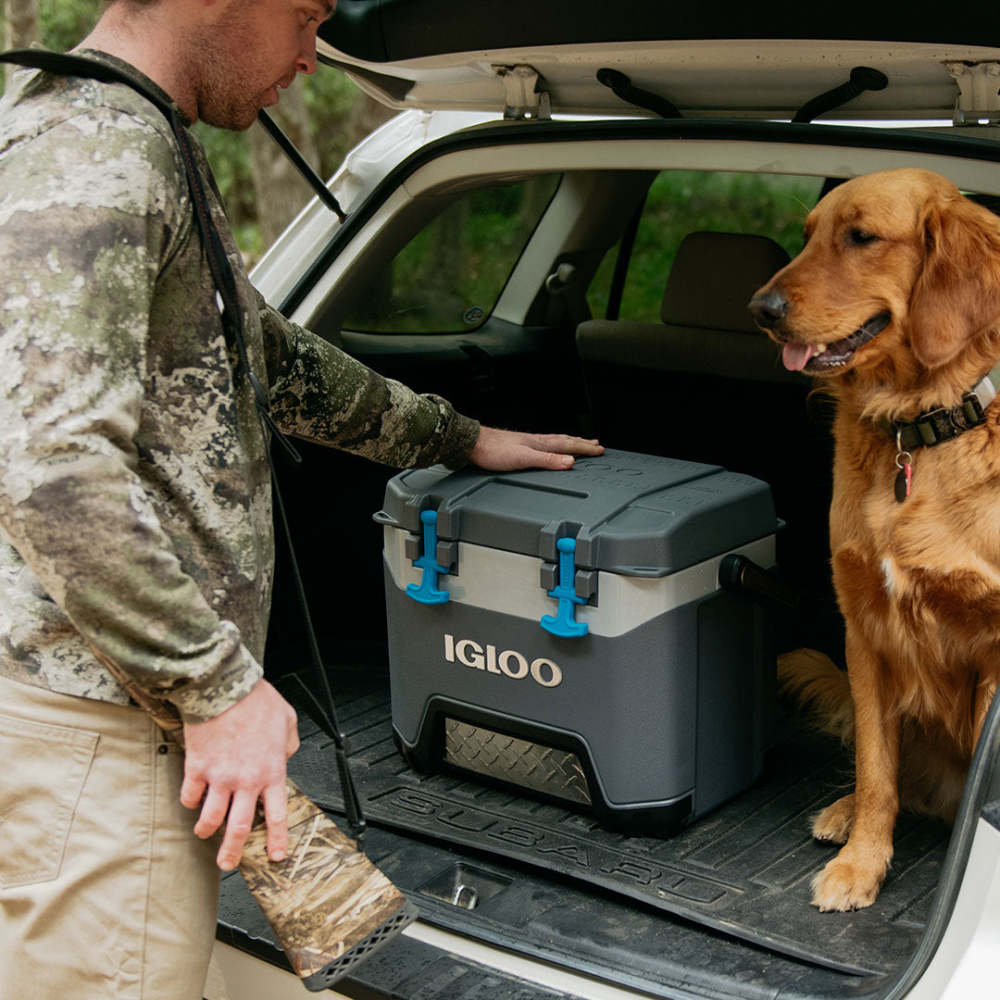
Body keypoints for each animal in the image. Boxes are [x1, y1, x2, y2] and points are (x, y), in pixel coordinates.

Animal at [748, 170, 1000, 916]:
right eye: (807, 236)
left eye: (861, 237)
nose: (760, 308)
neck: (917, 428)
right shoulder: (863, 629)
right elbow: (876, 768)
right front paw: (862, 862)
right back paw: (842, 813)